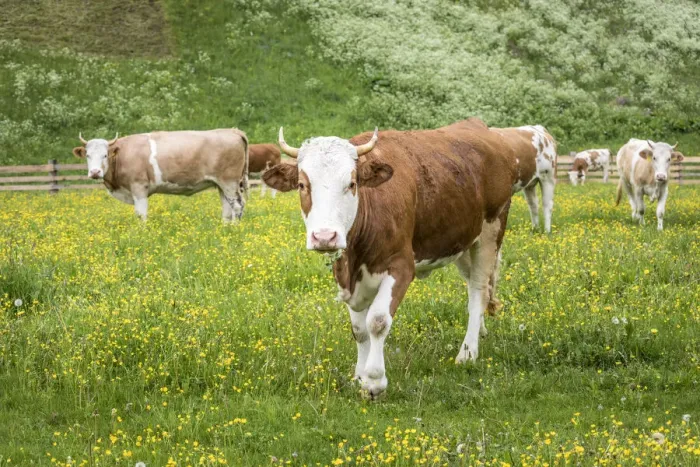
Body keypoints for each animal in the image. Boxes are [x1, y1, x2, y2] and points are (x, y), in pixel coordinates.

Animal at [72, 129, 249, 222]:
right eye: (87, 155)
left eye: (105, 155)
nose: (95, 172)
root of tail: (230, 130)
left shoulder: (139, 187)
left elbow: (141, 214)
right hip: (221, 184)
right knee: (227, 208)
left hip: (229, 182)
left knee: (237, 206)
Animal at [263, 118, 551, 398]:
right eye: (302, 185)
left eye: (352, 184)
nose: (325, 236)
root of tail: (483, 128)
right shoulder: (348, 278)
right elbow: (359, 330)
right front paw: (359, 376)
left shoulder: (401, 266)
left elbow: (377, 321)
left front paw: (374, 381)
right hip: (463, 239)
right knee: (475, 286)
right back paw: (480, 332)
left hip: (492, 229)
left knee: (478, 290)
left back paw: (468, 352)